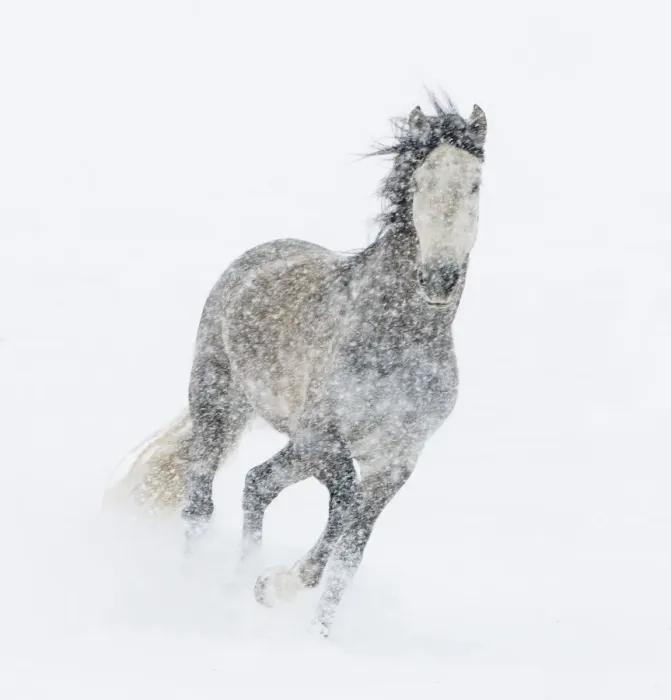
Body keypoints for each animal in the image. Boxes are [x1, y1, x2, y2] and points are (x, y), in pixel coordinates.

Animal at [105, 96, 487, 636]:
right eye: (418, 183)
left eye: (475, 184)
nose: (439, 278)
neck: (398, 340)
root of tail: (254, 256)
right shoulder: (325, 440)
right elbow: (346, 509)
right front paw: (279, 584)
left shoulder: (398, 459)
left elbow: (350, 553)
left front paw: (313, 629)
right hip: (220, 409)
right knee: (202, 506)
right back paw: (197, 595)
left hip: (294, 447)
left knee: (256, 484)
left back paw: (234, 592)